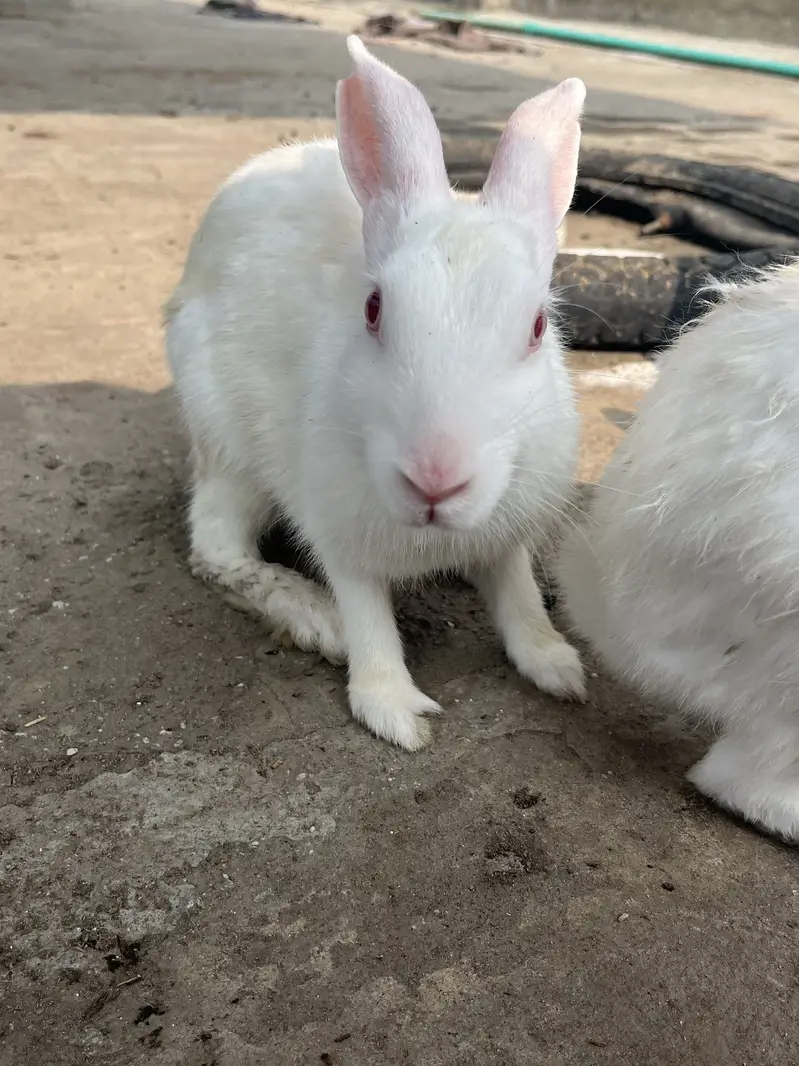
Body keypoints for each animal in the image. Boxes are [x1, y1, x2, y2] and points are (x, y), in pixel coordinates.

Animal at [165, 35, 587, 752]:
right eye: (373, 308)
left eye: (538, 327)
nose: (435, 479)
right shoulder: (340, 533)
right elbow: (368, 618)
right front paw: (394, 713)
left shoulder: (508, 535)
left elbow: (518, 593)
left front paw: (557, 666)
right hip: (226, 442)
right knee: (216, 550)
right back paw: (312, 616)